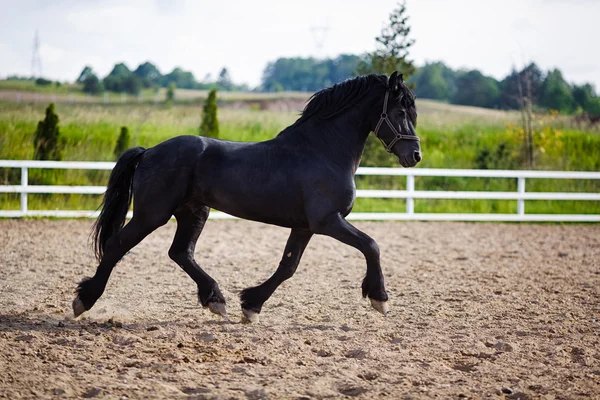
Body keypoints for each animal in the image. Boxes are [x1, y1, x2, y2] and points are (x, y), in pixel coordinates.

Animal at [72, 71, 422, 322]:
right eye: (400, 110)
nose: (415, 155)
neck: (323, 150)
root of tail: (149, 152)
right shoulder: (327, 221)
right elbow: (371, 245)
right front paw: (380, 299)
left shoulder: (305, 226)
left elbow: (288, 267)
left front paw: (251, 305)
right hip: (152, 214)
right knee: (118, 245)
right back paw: (83, 300)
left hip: (194, 211)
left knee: (181, 252)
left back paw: (216, 300)